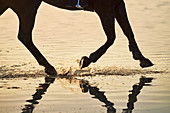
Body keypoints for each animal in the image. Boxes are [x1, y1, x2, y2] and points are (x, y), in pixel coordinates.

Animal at [0, 0, 153, 76]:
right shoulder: (104, 8)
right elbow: (111, 37)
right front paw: (85, 60)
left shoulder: (117, 4)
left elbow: (128, 31)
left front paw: (142, 59)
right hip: (28, 6)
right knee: (25, 36)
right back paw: (51, 68)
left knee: (25, 36)